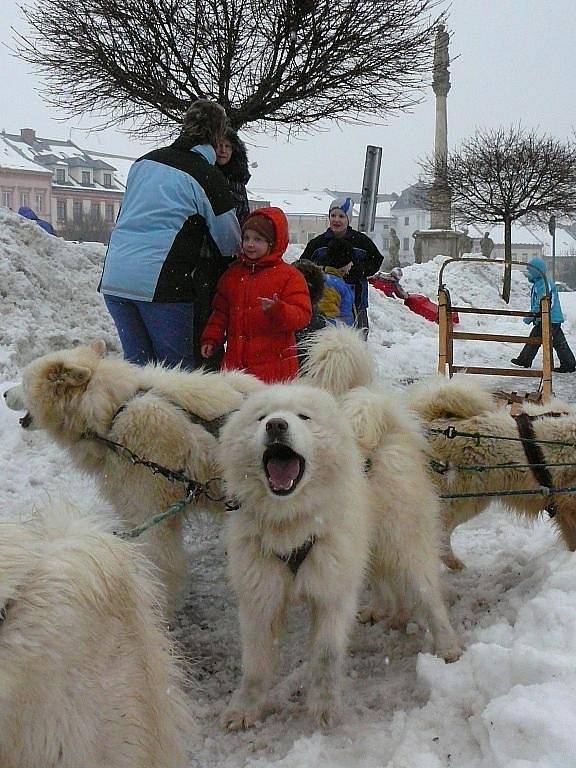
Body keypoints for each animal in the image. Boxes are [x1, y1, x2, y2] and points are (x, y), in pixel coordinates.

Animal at [217, 384, 374, 732]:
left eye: (304, 417)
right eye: (261, 417)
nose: (276, 425)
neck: (290, 525)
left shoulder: (332, 590)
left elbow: (327, 656)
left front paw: (325, 708)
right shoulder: (259, 595)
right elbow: (255, 664)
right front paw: (245, 709)